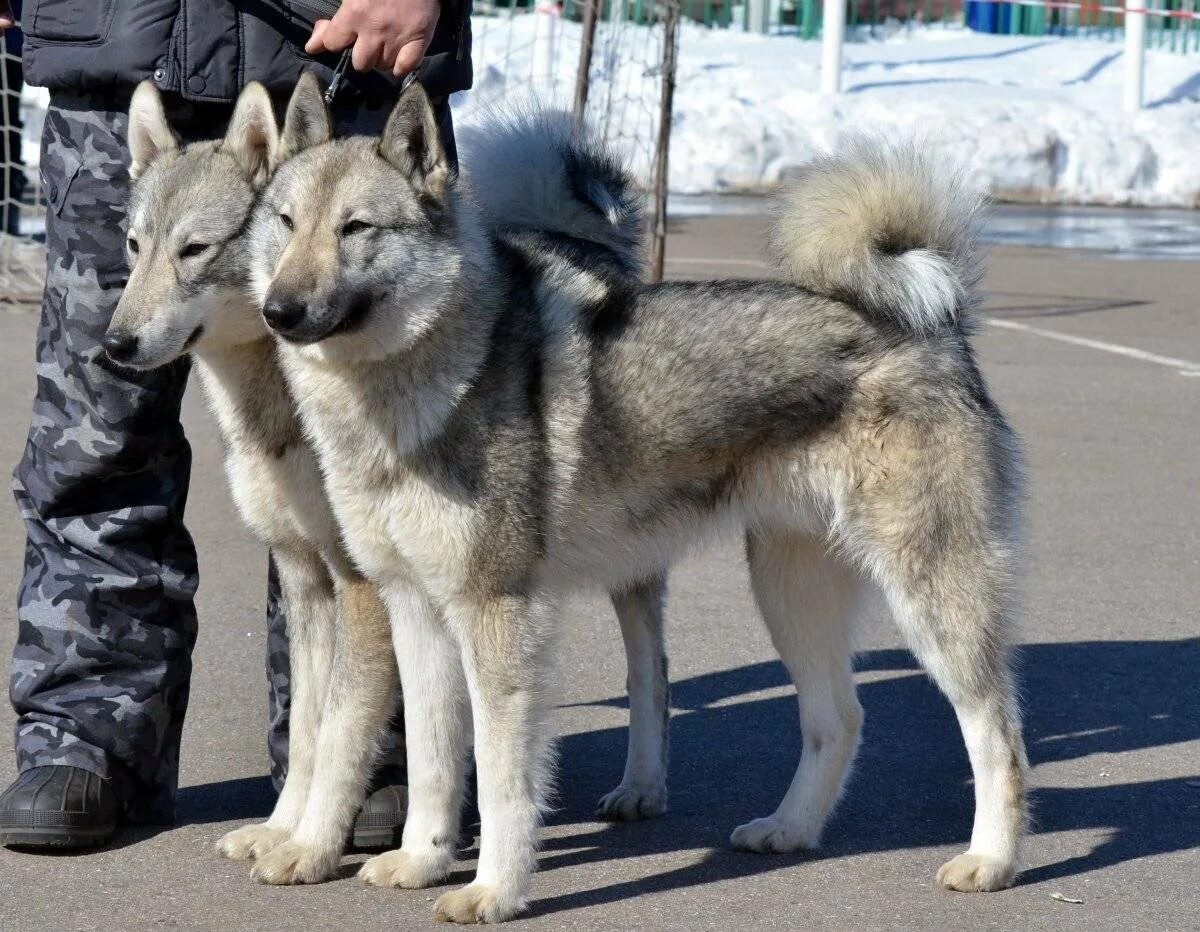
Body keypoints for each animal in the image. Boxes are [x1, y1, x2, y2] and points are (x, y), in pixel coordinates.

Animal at [102, 76, 667, 882]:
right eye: (133, 245)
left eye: (195, 249)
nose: (113, 345)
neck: (282, 409)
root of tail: (578, 239)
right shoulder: (305, 578)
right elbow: (307, 727)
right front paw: (281, 830)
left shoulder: (361, 584)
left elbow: (340, 731)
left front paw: (312, 846)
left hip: (625, 562)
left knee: (651, 671)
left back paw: (641, 785)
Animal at [246, 77, 1032, 921]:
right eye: (285, 223)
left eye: (356, 228)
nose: (278, 310)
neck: (409, 390)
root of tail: (933, 324)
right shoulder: (414, 611)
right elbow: (431, 758)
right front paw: (423, 860)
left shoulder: (497, 616)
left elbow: (501, 779)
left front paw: (494, 890)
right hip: (789, 593)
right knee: (841, 719)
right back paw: (789, 829)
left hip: (929, 598)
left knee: (997, 731)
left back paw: (991, 861)